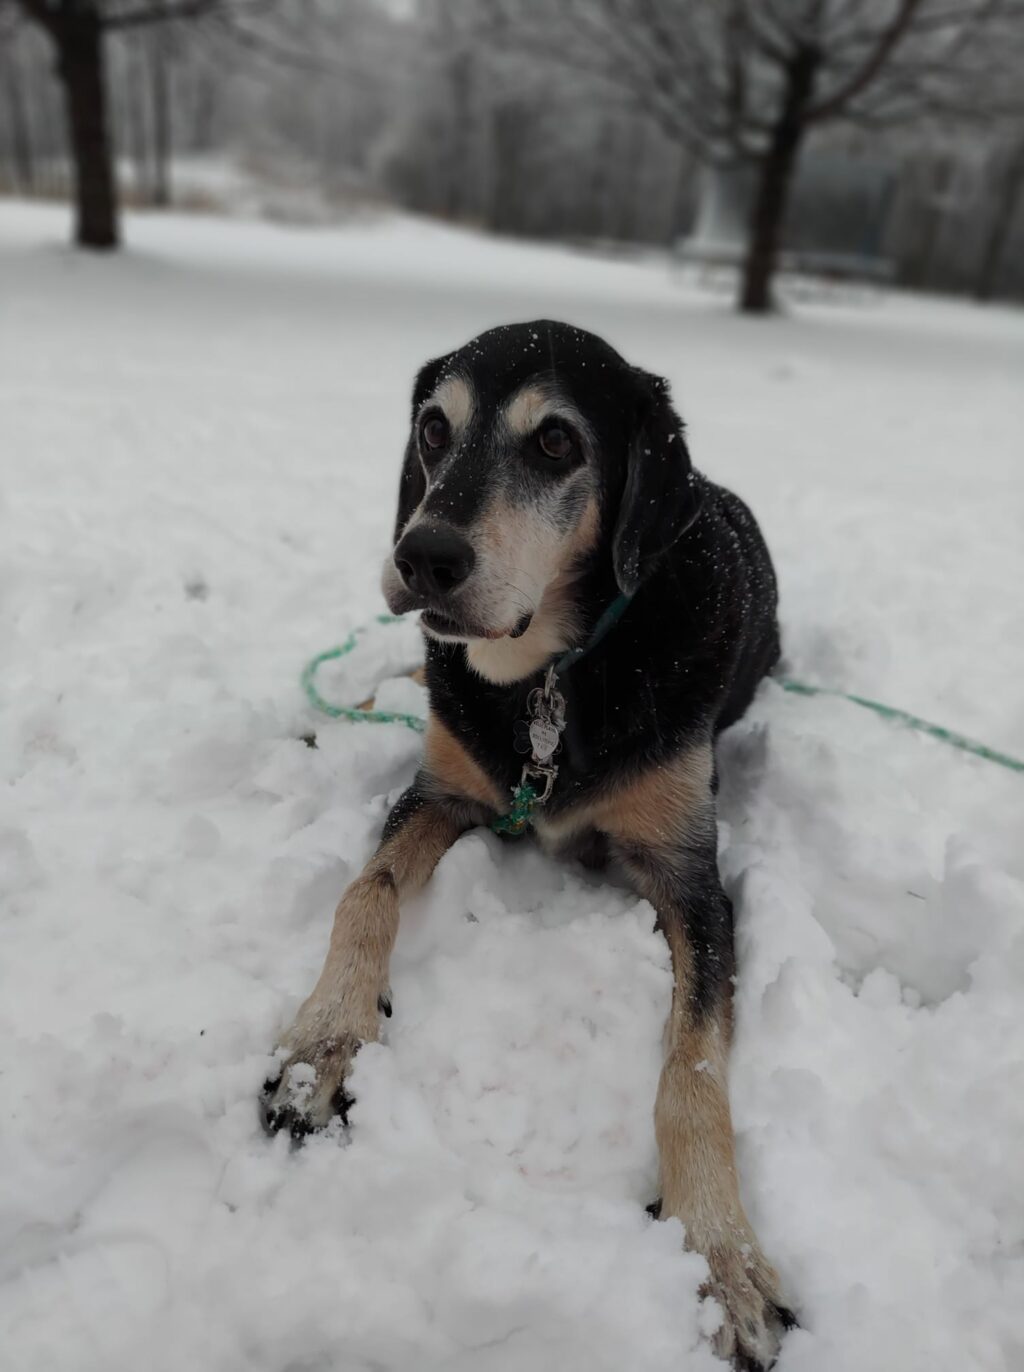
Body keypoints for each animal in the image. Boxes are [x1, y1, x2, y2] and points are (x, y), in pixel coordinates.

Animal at [259, 323, 785, 1372]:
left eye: (554, 442)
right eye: (432, 428)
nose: (421, 555)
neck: (551, 675)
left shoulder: (693, 877)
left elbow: (694, 1071)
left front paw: (721, 1256)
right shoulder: (440, 787)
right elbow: (365, 892)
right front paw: (325, 1041)